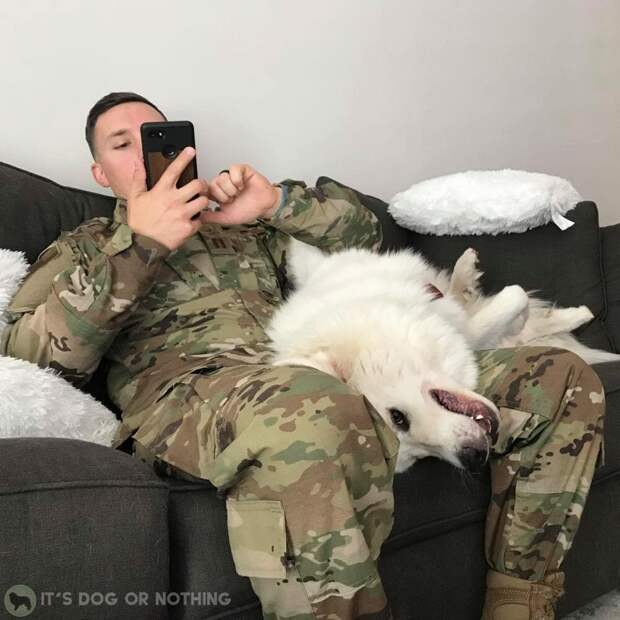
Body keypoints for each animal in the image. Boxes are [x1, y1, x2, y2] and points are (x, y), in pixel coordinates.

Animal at [266, 240, 620, 472]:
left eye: (397, 418)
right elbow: (512, 301)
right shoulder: (469, 332)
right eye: (419, 456)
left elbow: (494, 298)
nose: (474, 458)